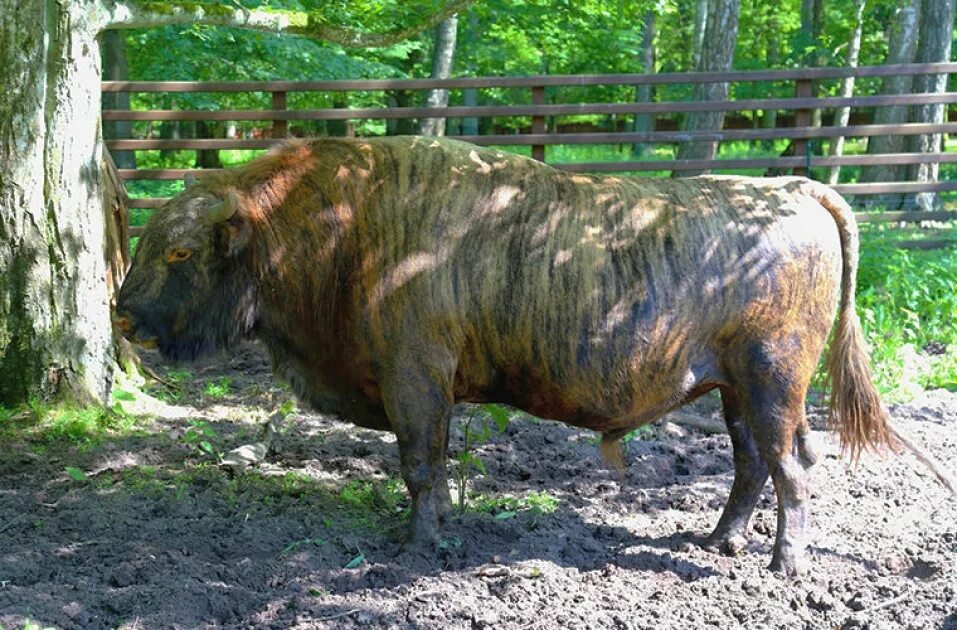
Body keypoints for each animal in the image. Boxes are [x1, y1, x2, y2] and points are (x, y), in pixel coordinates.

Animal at [116, 136, 900, 576]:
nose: (122, 315)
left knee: (789, 468)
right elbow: (431, 465)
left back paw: (782, 567)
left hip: (772, 381)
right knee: (751, 465)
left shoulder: (414, 378)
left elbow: (418, 464)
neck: (343, 222)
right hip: (734, 388)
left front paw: (416, 548)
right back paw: (719, 543)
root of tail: (794, 189)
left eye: (179, 252)